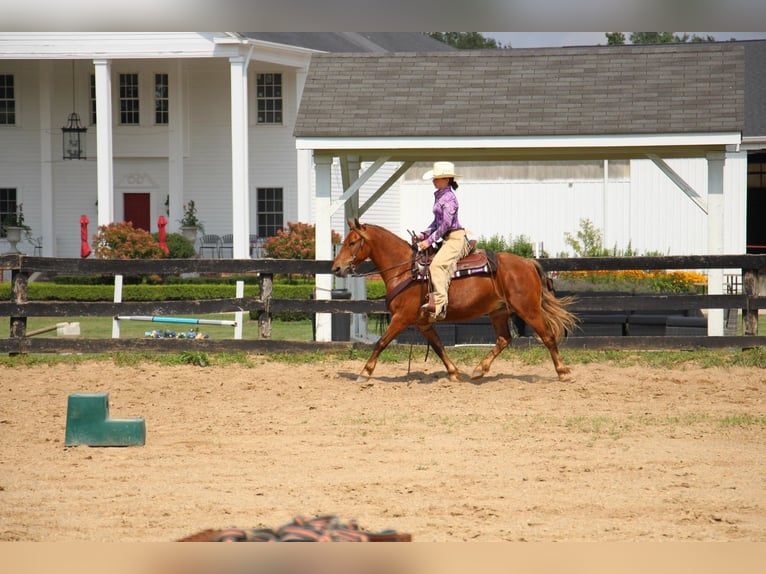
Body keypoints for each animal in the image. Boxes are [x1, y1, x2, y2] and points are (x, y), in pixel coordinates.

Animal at [332, 219, 580, 382]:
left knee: (547, 336)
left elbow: (381, 343)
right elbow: (438, 345)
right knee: (503, 339)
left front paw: (365, 373)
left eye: (352, 242)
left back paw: (562, 372)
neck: (405, 270)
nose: (336, 268)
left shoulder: (401, 318)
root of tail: (528, 263)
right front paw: (453, 372)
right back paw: (480, 369)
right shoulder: (423, 322)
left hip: (528, 309)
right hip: (499, 311)